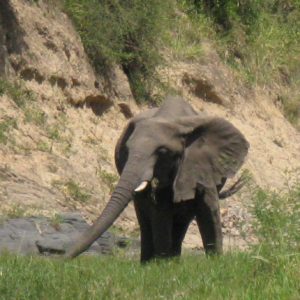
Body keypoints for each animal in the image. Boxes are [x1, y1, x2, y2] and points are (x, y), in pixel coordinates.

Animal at [66, 95, 251, 262]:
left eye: (162, 152)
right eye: (126, 150)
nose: (61, 259)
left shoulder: (202, 165)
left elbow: (208, 208)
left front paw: (215, 262)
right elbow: (161, 211)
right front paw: (162, 265)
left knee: (183, 218)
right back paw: (150, 262)